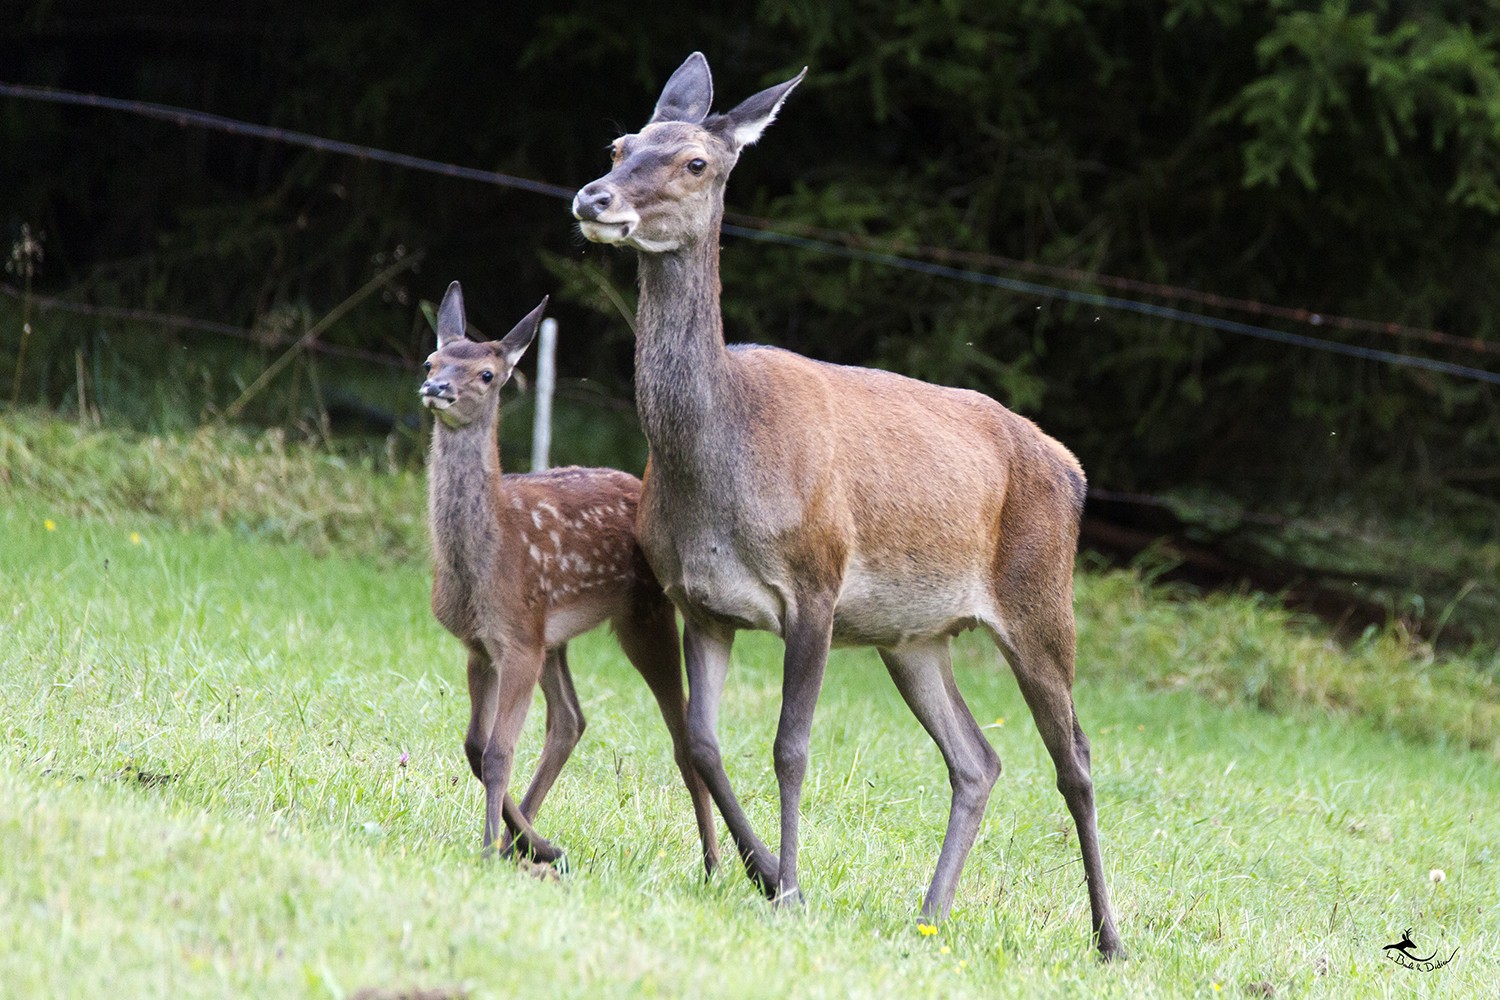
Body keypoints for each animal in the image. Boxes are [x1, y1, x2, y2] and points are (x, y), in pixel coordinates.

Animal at [423, 281, 720, 875]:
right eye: (431, 359)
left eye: (486, 373)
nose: (435, 388)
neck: (484, 559)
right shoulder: (482, 644)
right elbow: (474, 745)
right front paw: (522, 842)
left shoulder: (516, 636)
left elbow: (497, 751)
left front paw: (488, 847)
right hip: (554, 638)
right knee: (569, 720)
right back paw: (530, 842)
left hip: (643, 616)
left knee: (680, 737)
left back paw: (714, 864)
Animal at [567, 50, 1122, 959]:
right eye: (619, 144)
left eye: (696, 163)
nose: (594, 198)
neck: (720, 468)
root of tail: (1074, 471)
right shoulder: (702, 602)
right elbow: (704, 743)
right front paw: (761, 871)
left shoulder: (816, 585)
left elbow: (791, 746)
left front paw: (791, 887)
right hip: (915, 636)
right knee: (977, 758)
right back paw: (931, 913)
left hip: (1042, 598)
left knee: (1072, 755)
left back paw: (1109, 937)